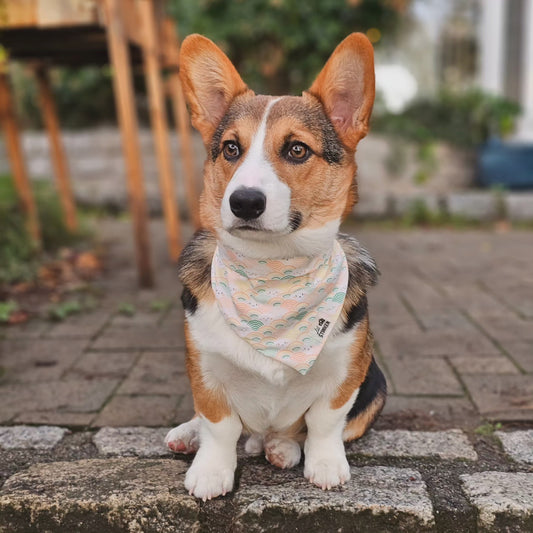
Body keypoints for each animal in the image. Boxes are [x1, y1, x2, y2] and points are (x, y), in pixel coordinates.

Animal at [164, 32, 384, 498]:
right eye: (231, 148)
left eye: (297, 149)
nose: (244, 201)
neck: (272, 275)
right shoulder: (205, 366)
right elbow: (218, 424)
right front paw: (210, 471)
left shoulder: (347, 371)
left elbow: (325, 423)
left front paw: (325, 465)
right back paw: (189, 435)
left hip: (377, 385)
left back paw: (281, 448)